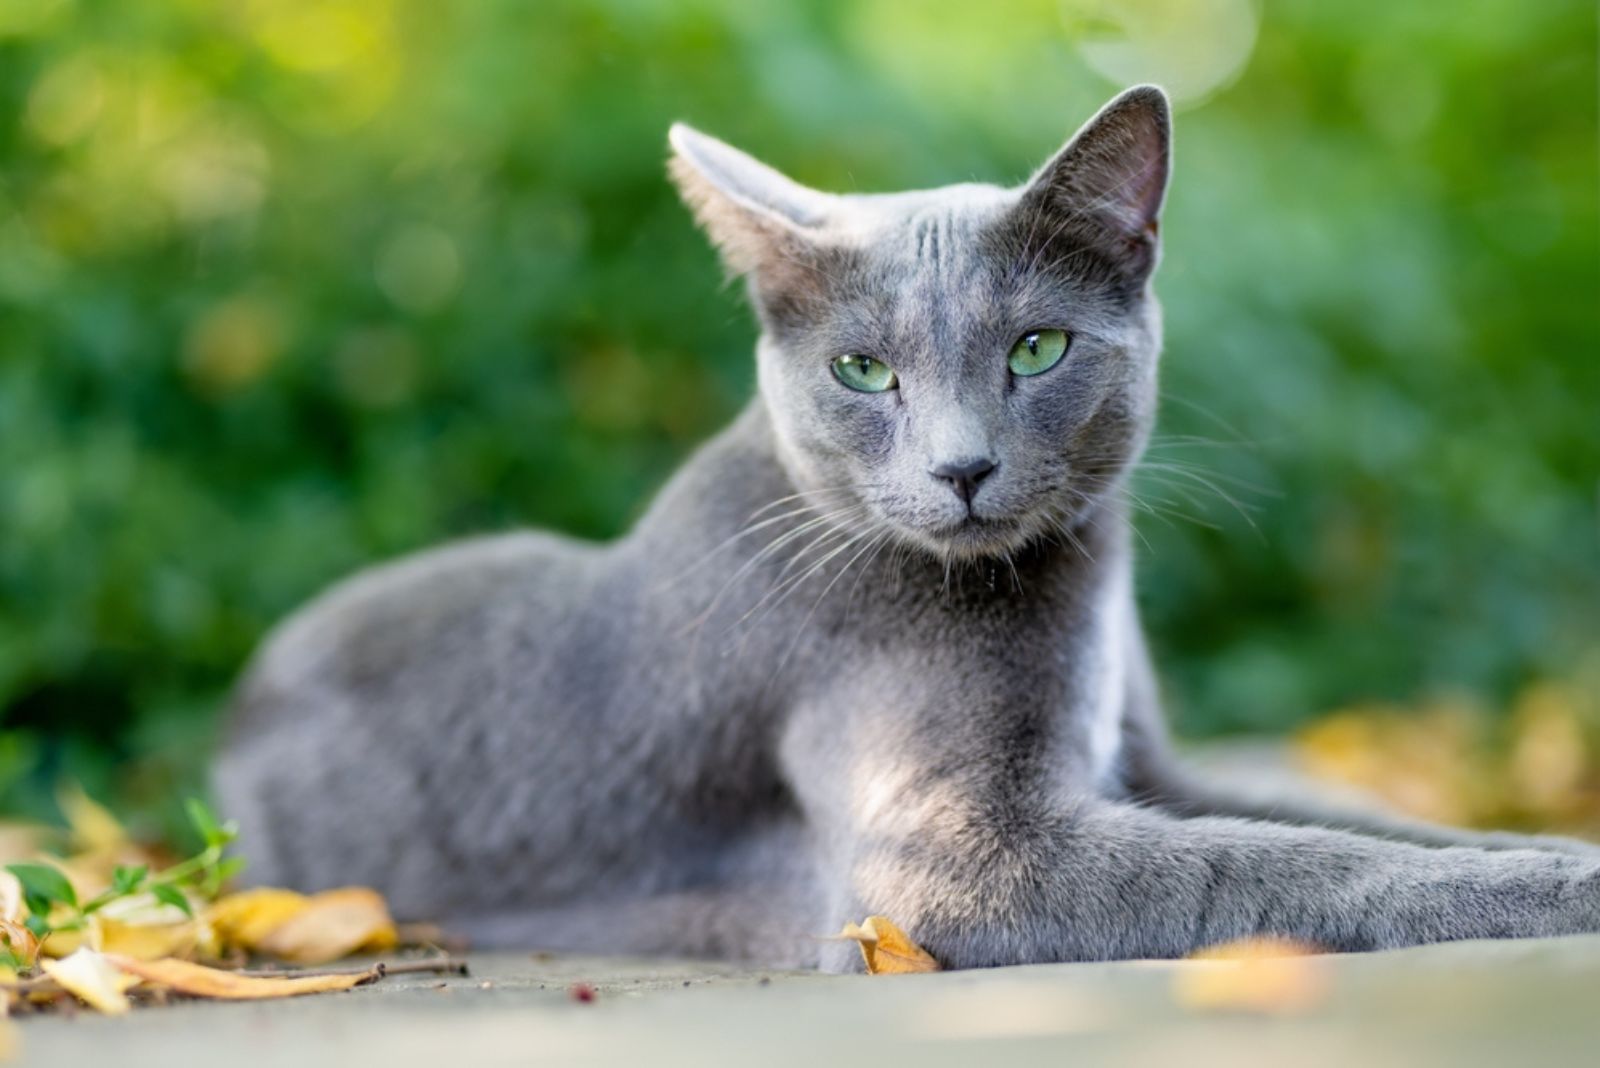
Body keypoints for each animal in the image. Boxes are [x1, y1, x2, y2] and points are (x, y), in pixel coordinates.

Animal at [212, 83, 1600, 965]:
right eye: (863, 371)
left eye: (1036, 348)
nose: (962, 466)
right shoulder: (943, 864)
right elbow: (1273, 866)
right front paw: (1566, 883)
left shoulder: (1152, 764)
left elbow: (1359, 827)